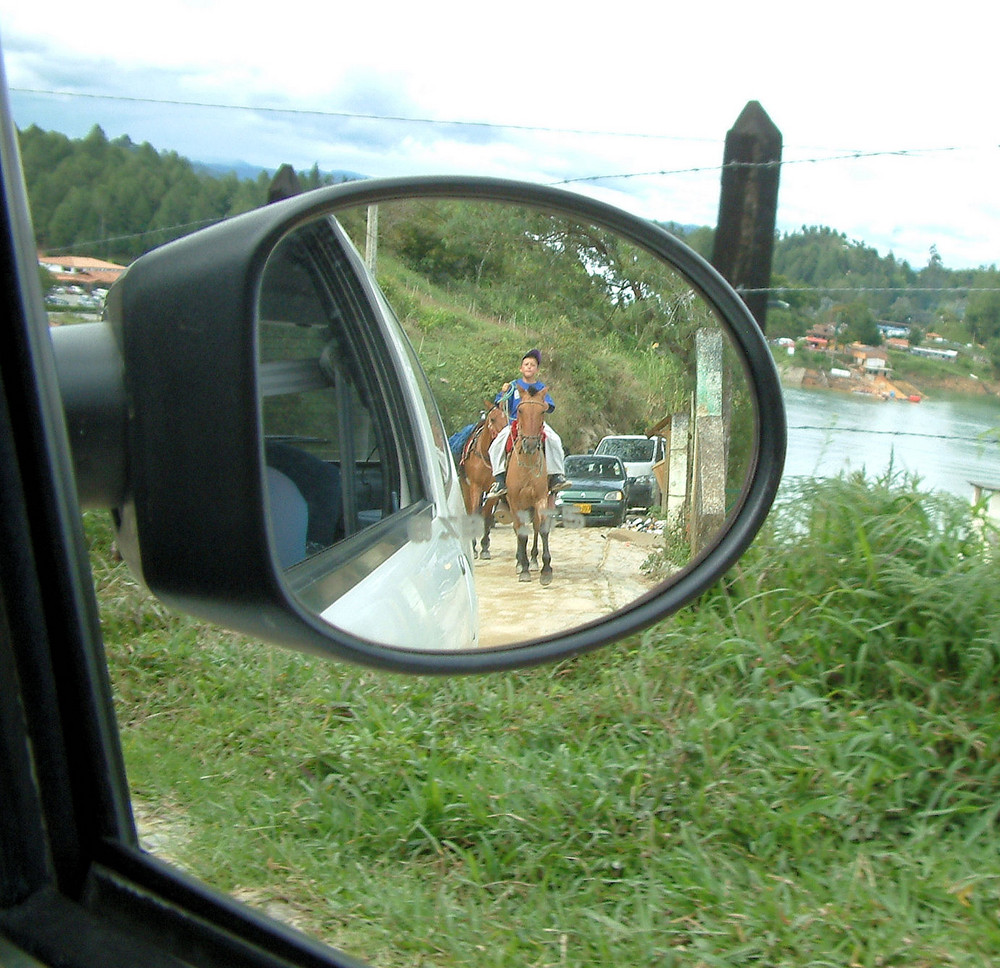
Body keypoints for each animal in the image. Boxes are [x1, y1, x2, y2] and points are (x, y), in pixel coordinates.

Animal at [460, 402, 508, 560]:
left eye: (506, 417)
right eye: (492, 419)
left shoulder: (493, 490)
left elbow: (487, 516)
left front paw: (485, 547)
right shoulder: (475, 486)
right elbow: (475, 513)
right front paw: (474, 547)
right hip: (466, 487)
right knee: (469, 509)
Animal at [508, 392, 556, 584]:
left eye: (542, 411)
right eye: (520, 410)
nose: (529, 445)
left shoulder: (541, 498)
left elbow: (542, 529)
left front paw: (546, 570)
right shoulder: (515, 502)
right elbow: (521, 534)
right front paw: (524, 570)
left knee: (535, 527)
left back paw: (534, 560)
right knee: (518, 529)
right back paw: (520, 562)